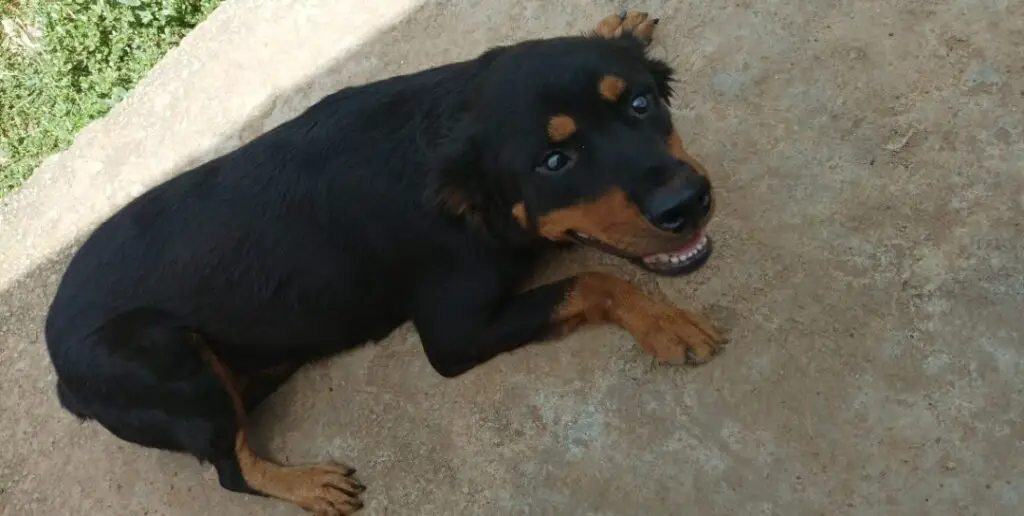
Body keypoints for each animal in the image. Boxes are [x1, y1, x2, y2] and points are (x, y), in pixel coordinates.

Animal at [44, 10, 724, 513]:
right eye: (553, 163)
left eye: (640, 104)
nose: (687, 204)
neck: (462, 186)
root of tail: (58, 369)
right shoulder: (454, 334)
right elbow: (595, 279)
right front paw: (666, 323)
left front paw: (614, 24)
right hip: (168, 358)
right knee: (231, 469)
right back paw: (308, 484)